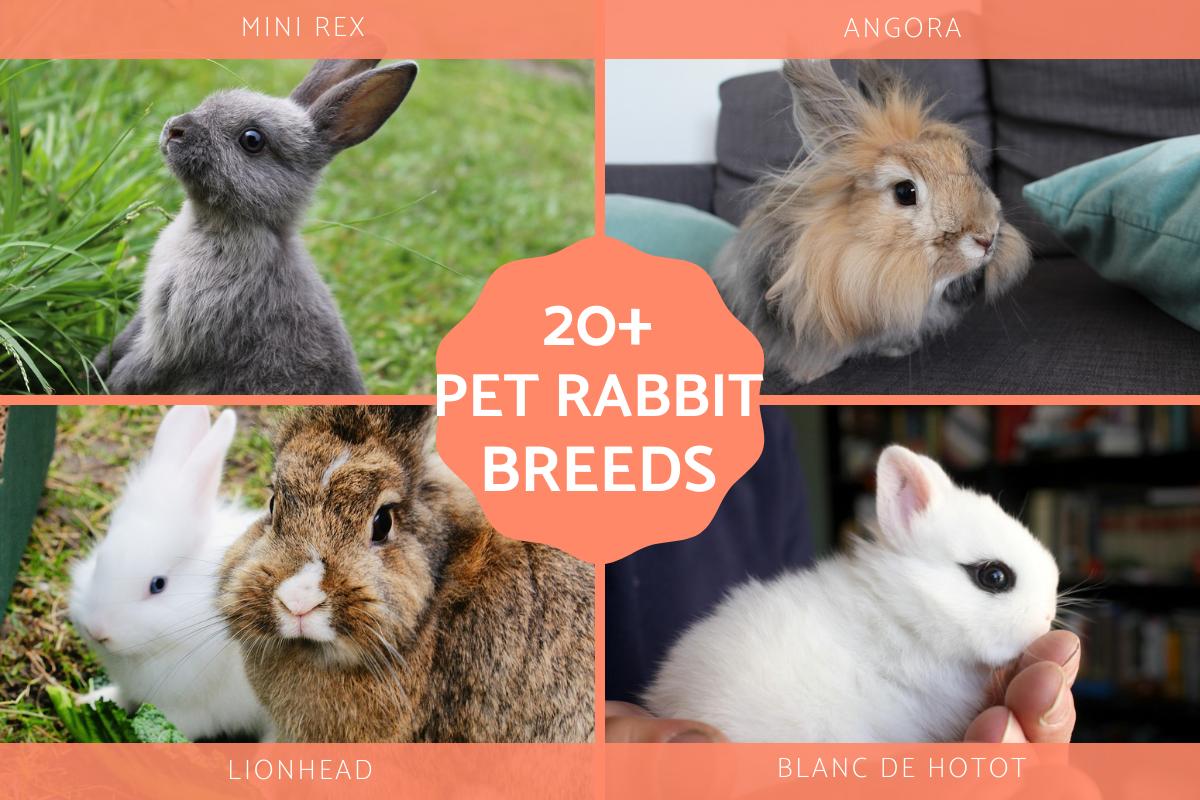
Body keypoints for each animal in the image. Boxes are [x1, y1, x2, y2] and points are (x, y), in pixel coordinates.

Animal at [68, 405, 269, 740]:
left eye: (158, 585)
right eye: (100, 561)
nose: (98, 631)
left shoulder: (188, 711)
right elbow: (122, 696)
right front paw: (90, 700)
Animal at [95, 59, 419, 394]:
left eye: (252, 140)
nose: (175, 129)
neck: (215, 223)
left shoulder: (179, 336)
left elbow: (144, 367)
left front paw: (110, 385)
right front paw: (97, 366)